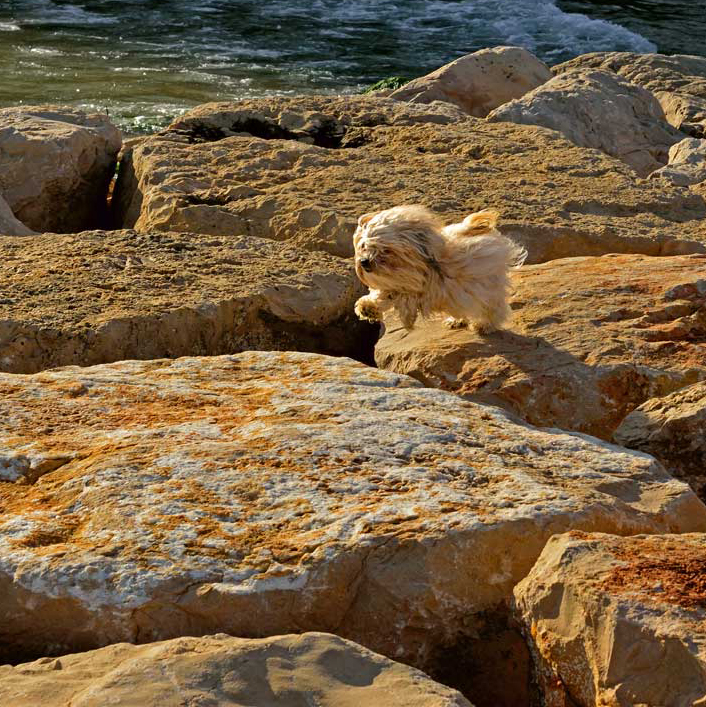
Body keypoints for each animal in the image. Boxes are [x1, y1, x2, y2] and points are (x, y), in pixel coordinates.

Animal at [352, 206, 524, 334]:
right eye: (364, 246)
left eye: (386, 250)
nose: (364, 262)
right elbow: (384, 294)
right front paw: (367, 307)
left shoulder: (430, 291)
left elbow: (403, 297)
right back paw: (457, 320)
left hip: (487, 288)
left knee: (493, 308)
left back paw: (484, 325)